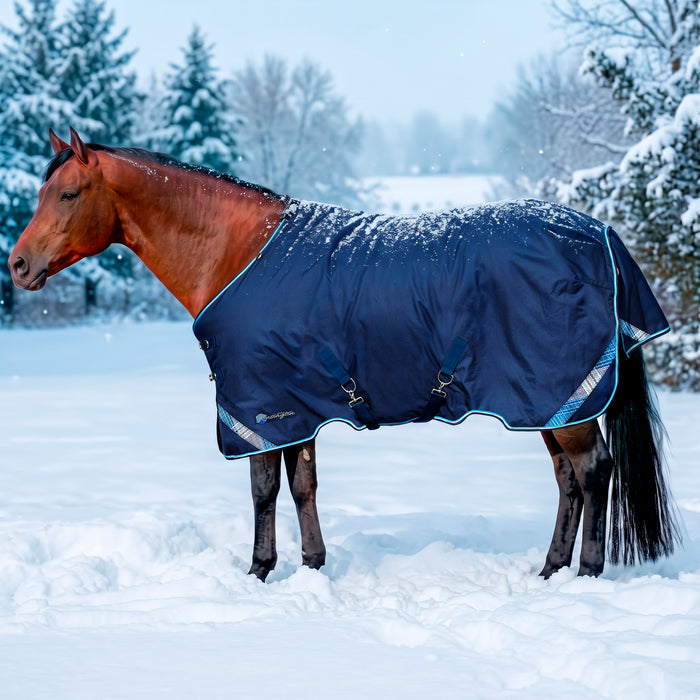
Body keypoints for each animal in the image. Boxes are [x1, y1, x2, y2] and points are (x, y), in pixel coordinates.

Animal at [9, 128, 680, 582]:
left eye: (68, 194)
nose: (17, 265)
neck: (235, 252)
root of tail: (598, 234)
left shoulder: (257, 408)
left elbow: (263, 490)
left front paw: (258, 571)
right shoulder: (296, 407)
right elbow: (301, 486)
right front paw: (310, 566)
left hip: (560, 397)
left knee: (594, 473)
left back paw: (585, 572)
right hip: (548, 403)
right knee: (569, 481)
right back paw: (549, 569)